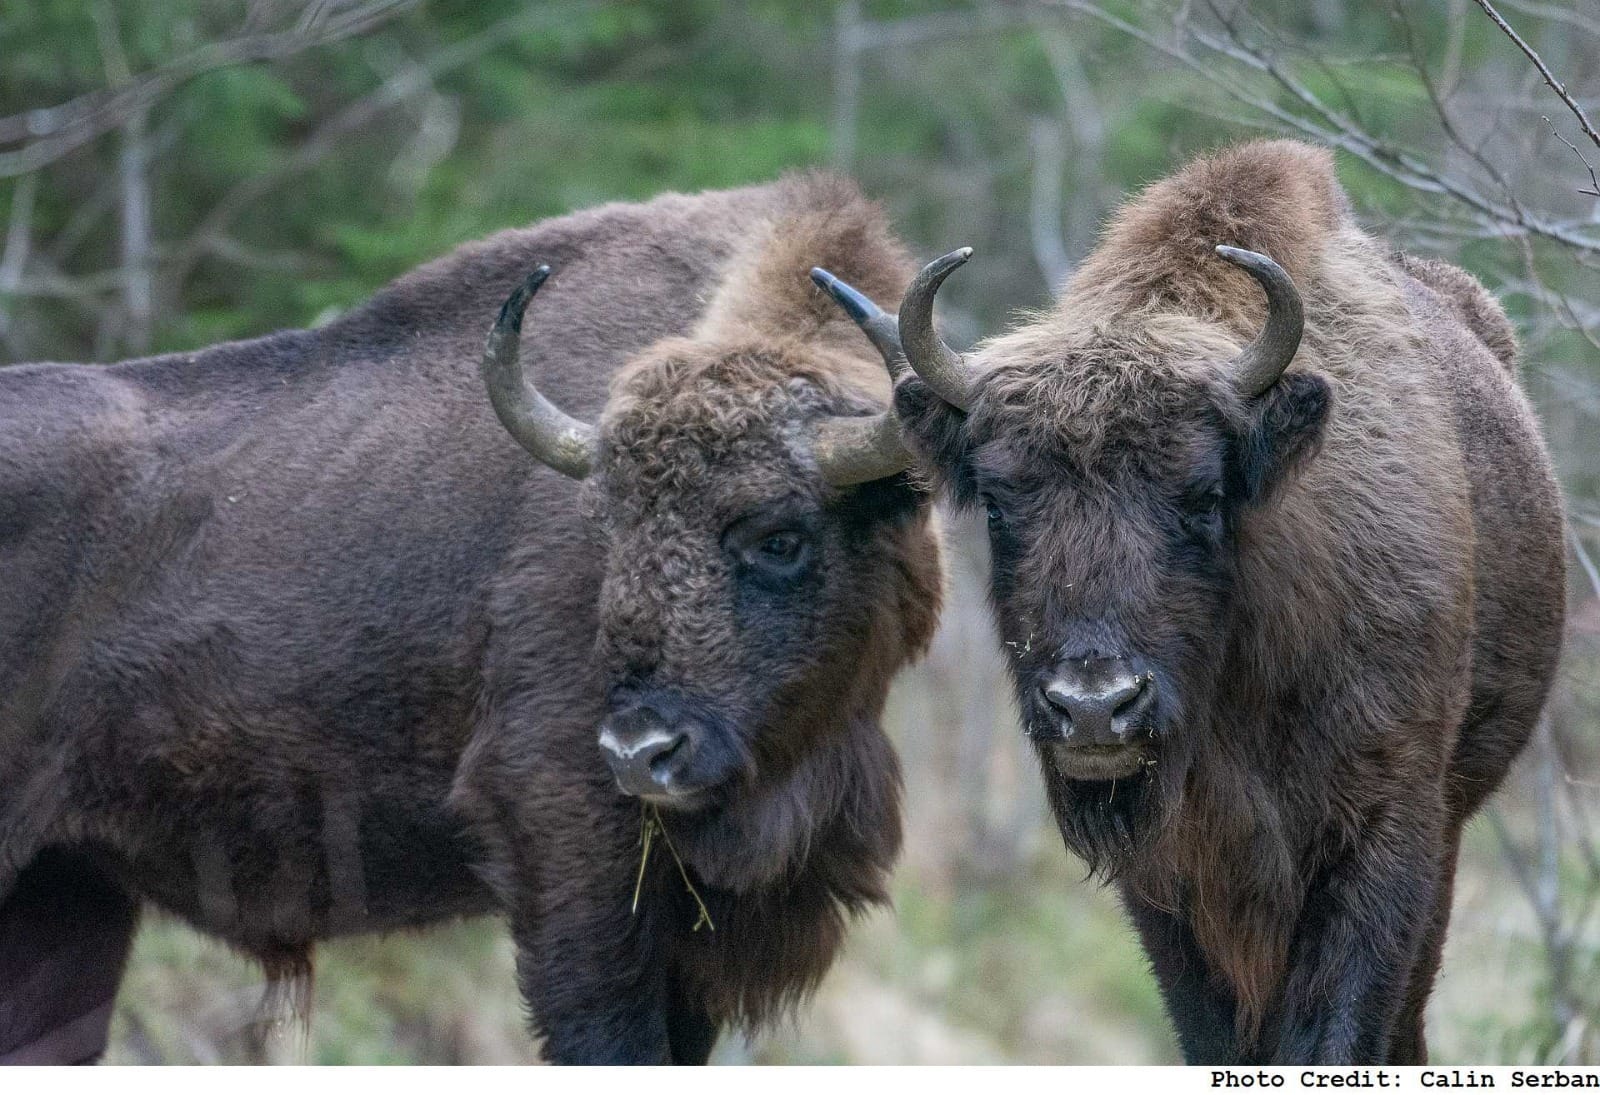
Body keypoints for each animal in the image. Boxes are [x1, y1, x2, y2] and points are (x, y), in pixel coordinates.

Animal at [822, 140, 1565, 1063]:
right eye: (996, 503)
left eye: (1203, 496)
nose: (1093, 707)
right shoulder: (1168, 881)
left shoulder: (1388, 831)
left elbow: (1340, 1025)